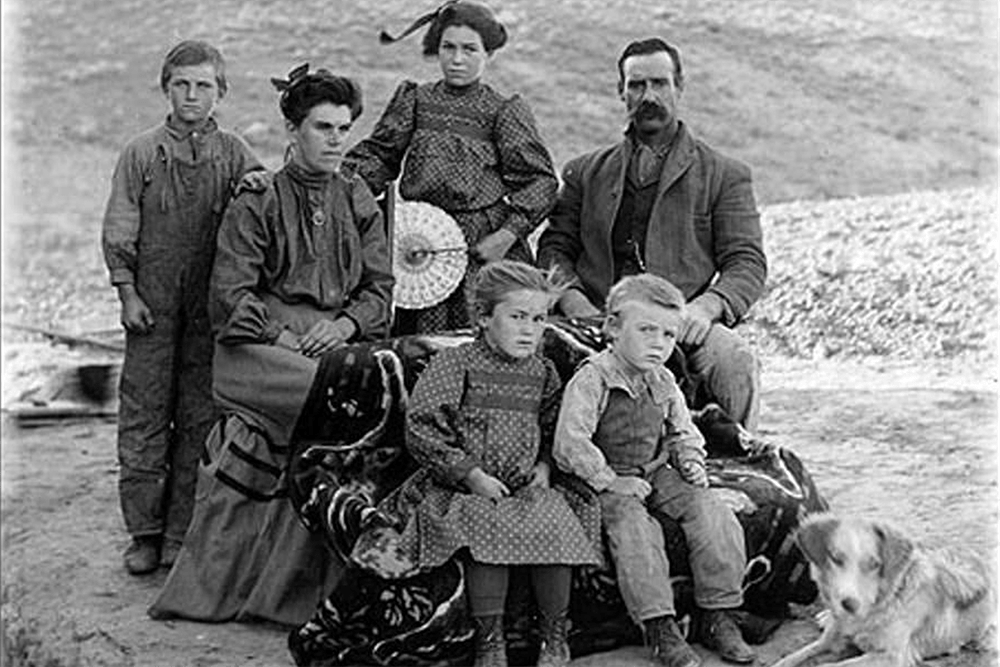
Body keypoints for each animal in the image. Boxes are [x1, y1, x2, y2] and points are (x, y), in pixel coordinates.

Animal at [772, 516, 992, 664]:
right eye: (836, 558)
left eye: (874, 564)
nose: (849, 605)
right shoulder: (830, 638)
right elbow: (792, 657)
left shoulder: (892, 656)